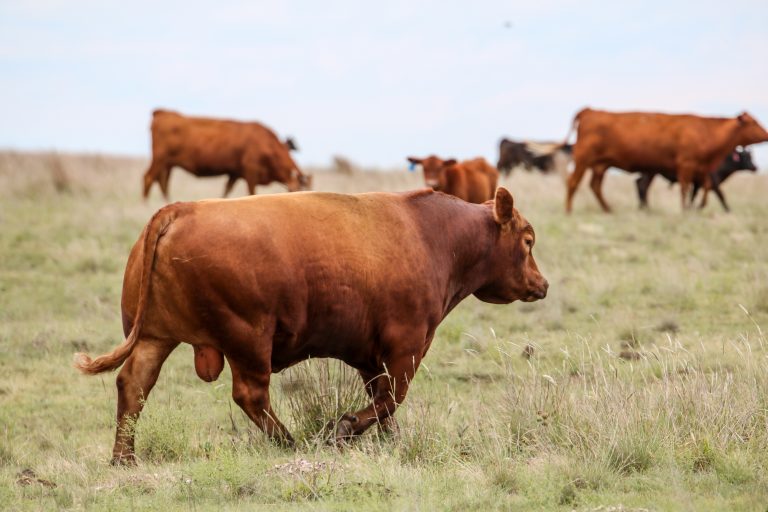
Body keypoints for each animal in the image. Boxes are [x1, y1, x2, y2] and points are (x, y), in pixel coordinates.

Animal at [73, 187, 548, 464]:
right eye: (527, 240)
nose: (541, 284)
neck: (436, 236)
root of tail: (181, 209)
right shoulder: (407, 345)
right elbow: (390, 398)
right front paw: (347, 428)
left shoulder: (370, 355)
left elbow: (384, 401)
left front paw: (385, 440)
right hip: (248, 340)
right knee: (250, 395)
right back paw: (288, 442)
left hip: (155, 338)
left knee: (133, 386)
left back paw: (124, 458)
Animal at [142, 110, 311, 200]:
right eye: (296, 190)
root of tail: (162, 113)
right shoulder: (251, 172)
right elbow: (251, 193)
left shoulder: (235, 173)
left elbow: (226, 191)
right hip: (160, 159)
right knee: (149, 178)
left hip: (168, 164)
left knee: (163, 183)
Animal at [564, 108, 768, 213]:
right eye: (754, 123)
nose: (766, 134)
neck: (706, 131)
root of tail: (588, 111)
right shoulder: (686, 165)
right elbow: (687, 189)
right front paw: (686, 210)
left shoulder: (702, 171)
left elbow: (703, 190)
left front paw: (696, 208)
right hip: (583, 160)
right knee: (573, 182)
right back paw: (569, 210)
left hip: (602, 165)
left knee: (597, 186)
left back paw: (610, 210)